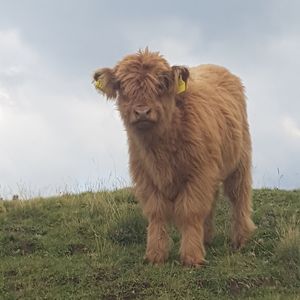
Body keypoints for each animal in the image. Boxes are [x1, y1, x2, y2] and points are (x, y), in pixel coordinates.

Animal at [94, 49, 255, 268]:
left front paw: (192, 257)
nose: (142, 112)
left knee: (239, 196)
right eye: (122, 86)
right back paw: (206, 238)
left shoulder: (198, 174)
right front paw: (155, 255)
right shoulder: (145, 176)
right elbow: (156, 212)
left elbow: (190, 211)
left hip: (240, 160)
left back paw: (240, 239)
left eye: (161, 84)